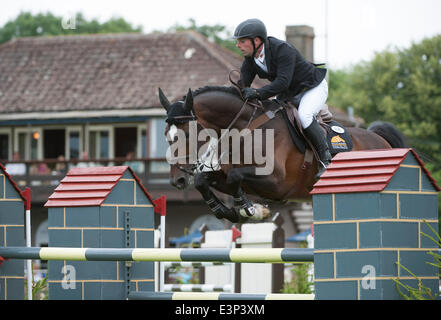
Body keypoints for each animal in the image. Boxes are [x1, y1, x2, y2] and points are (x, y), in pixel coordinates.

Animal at [158, 86, 406, 224]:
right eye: (165, 134)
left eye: (187, 134)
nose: (178, 180)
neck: (245, 128)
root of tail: (380, 138)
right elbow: (204, 180)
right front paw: (228, 211)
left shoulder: (276, 181)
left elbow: (236, 177)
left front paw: (250, 209)